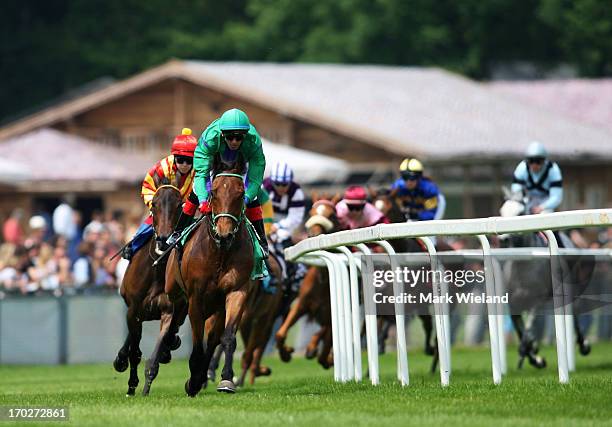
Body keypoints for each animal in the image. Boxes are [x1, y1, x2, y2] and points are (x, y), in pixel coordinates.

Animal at [165, 171, 256, 398]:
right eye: (213, 193)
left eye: (240, 194)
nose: (224, 234)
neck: (219, 253)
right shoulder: (195, 297)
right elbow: (198, 343)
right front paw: (193, 381)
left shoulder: (237, 290)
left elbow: (227, 337)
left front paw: (225, 379)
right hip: (174, 290)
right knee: (175, 315)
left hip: (217, 306)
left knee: (214, 338)